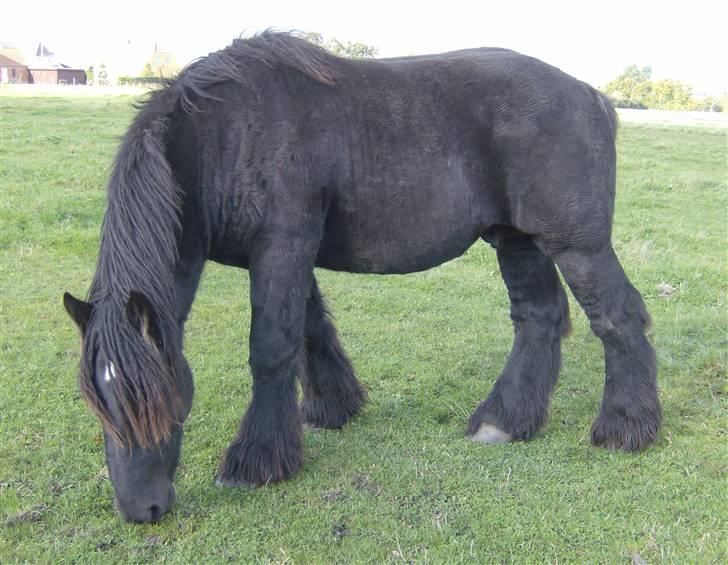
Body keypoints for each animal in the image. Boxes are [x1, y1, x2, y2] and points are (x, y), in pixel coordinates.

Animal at [62, 33, 660, 524]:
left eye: (155, 400)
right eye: (97, 401)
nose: (141, 510)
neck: (227, 134)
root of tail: (591, 96)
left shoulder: (282, 246)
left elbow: (271, 348)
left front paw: (256, 461)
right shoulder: (287, 255)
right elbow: (310, 332)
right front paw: (332, 408)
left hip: (576, 246)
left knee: (617, 318)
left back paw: (625, 428)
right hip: (516, 239)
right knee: (537, 320)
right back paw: (505, 420)